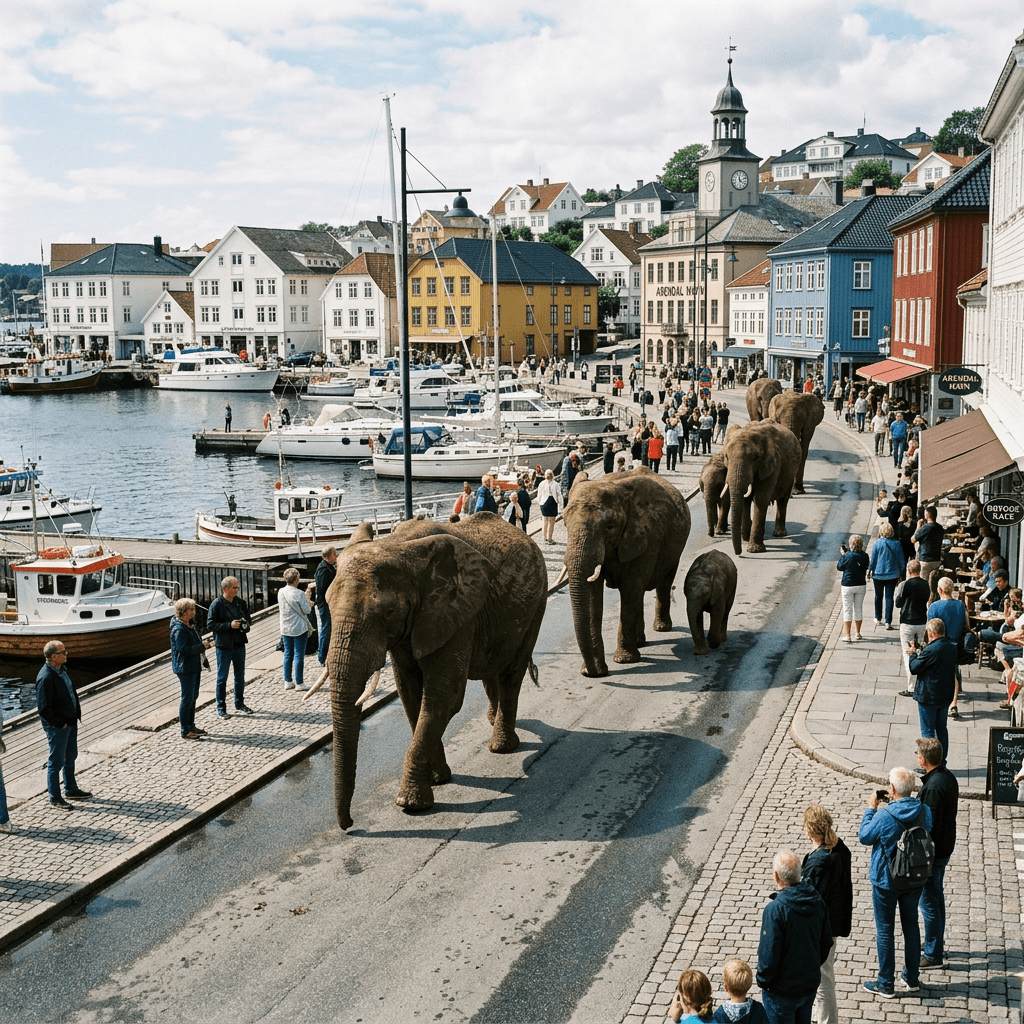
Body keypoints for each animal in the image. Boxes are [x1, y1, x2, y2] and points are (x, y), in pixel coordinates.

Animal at [324, 512, 548, 830]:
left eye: (388, 612)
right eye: (326, 606)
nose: (350, 825)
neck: (397, 544)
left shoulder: (457, 610)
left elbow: (444, 697)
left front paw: (411, 804)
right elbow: (411, 695)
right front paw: (439, 779)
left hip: (537, 599)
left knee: (511, 672)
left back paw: (502, 747)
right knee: (492, 668)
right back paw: (494, 722)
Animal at [562, 468, 691, 677]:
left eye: (610, 527)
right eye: (564, 523)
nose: (593, 673)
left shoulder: (648, 536)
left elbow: (631, 589)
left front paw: (624, 660)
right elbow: (593, 598)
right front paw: (595, 671)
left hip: (675, 547)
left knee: (662, 583)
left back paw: (661, 629)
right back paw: (640, 641)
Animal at [721, 420, 802, 554]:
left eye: (755, 458)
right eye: (726, 457)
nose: (739, 553)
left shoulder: (773, 464)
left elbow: (761, 499)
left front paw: (754, 550)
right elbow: (745, 498)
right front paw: (745, 539)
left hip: (790, 473)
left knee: (783, 500)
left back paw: (779, 534)